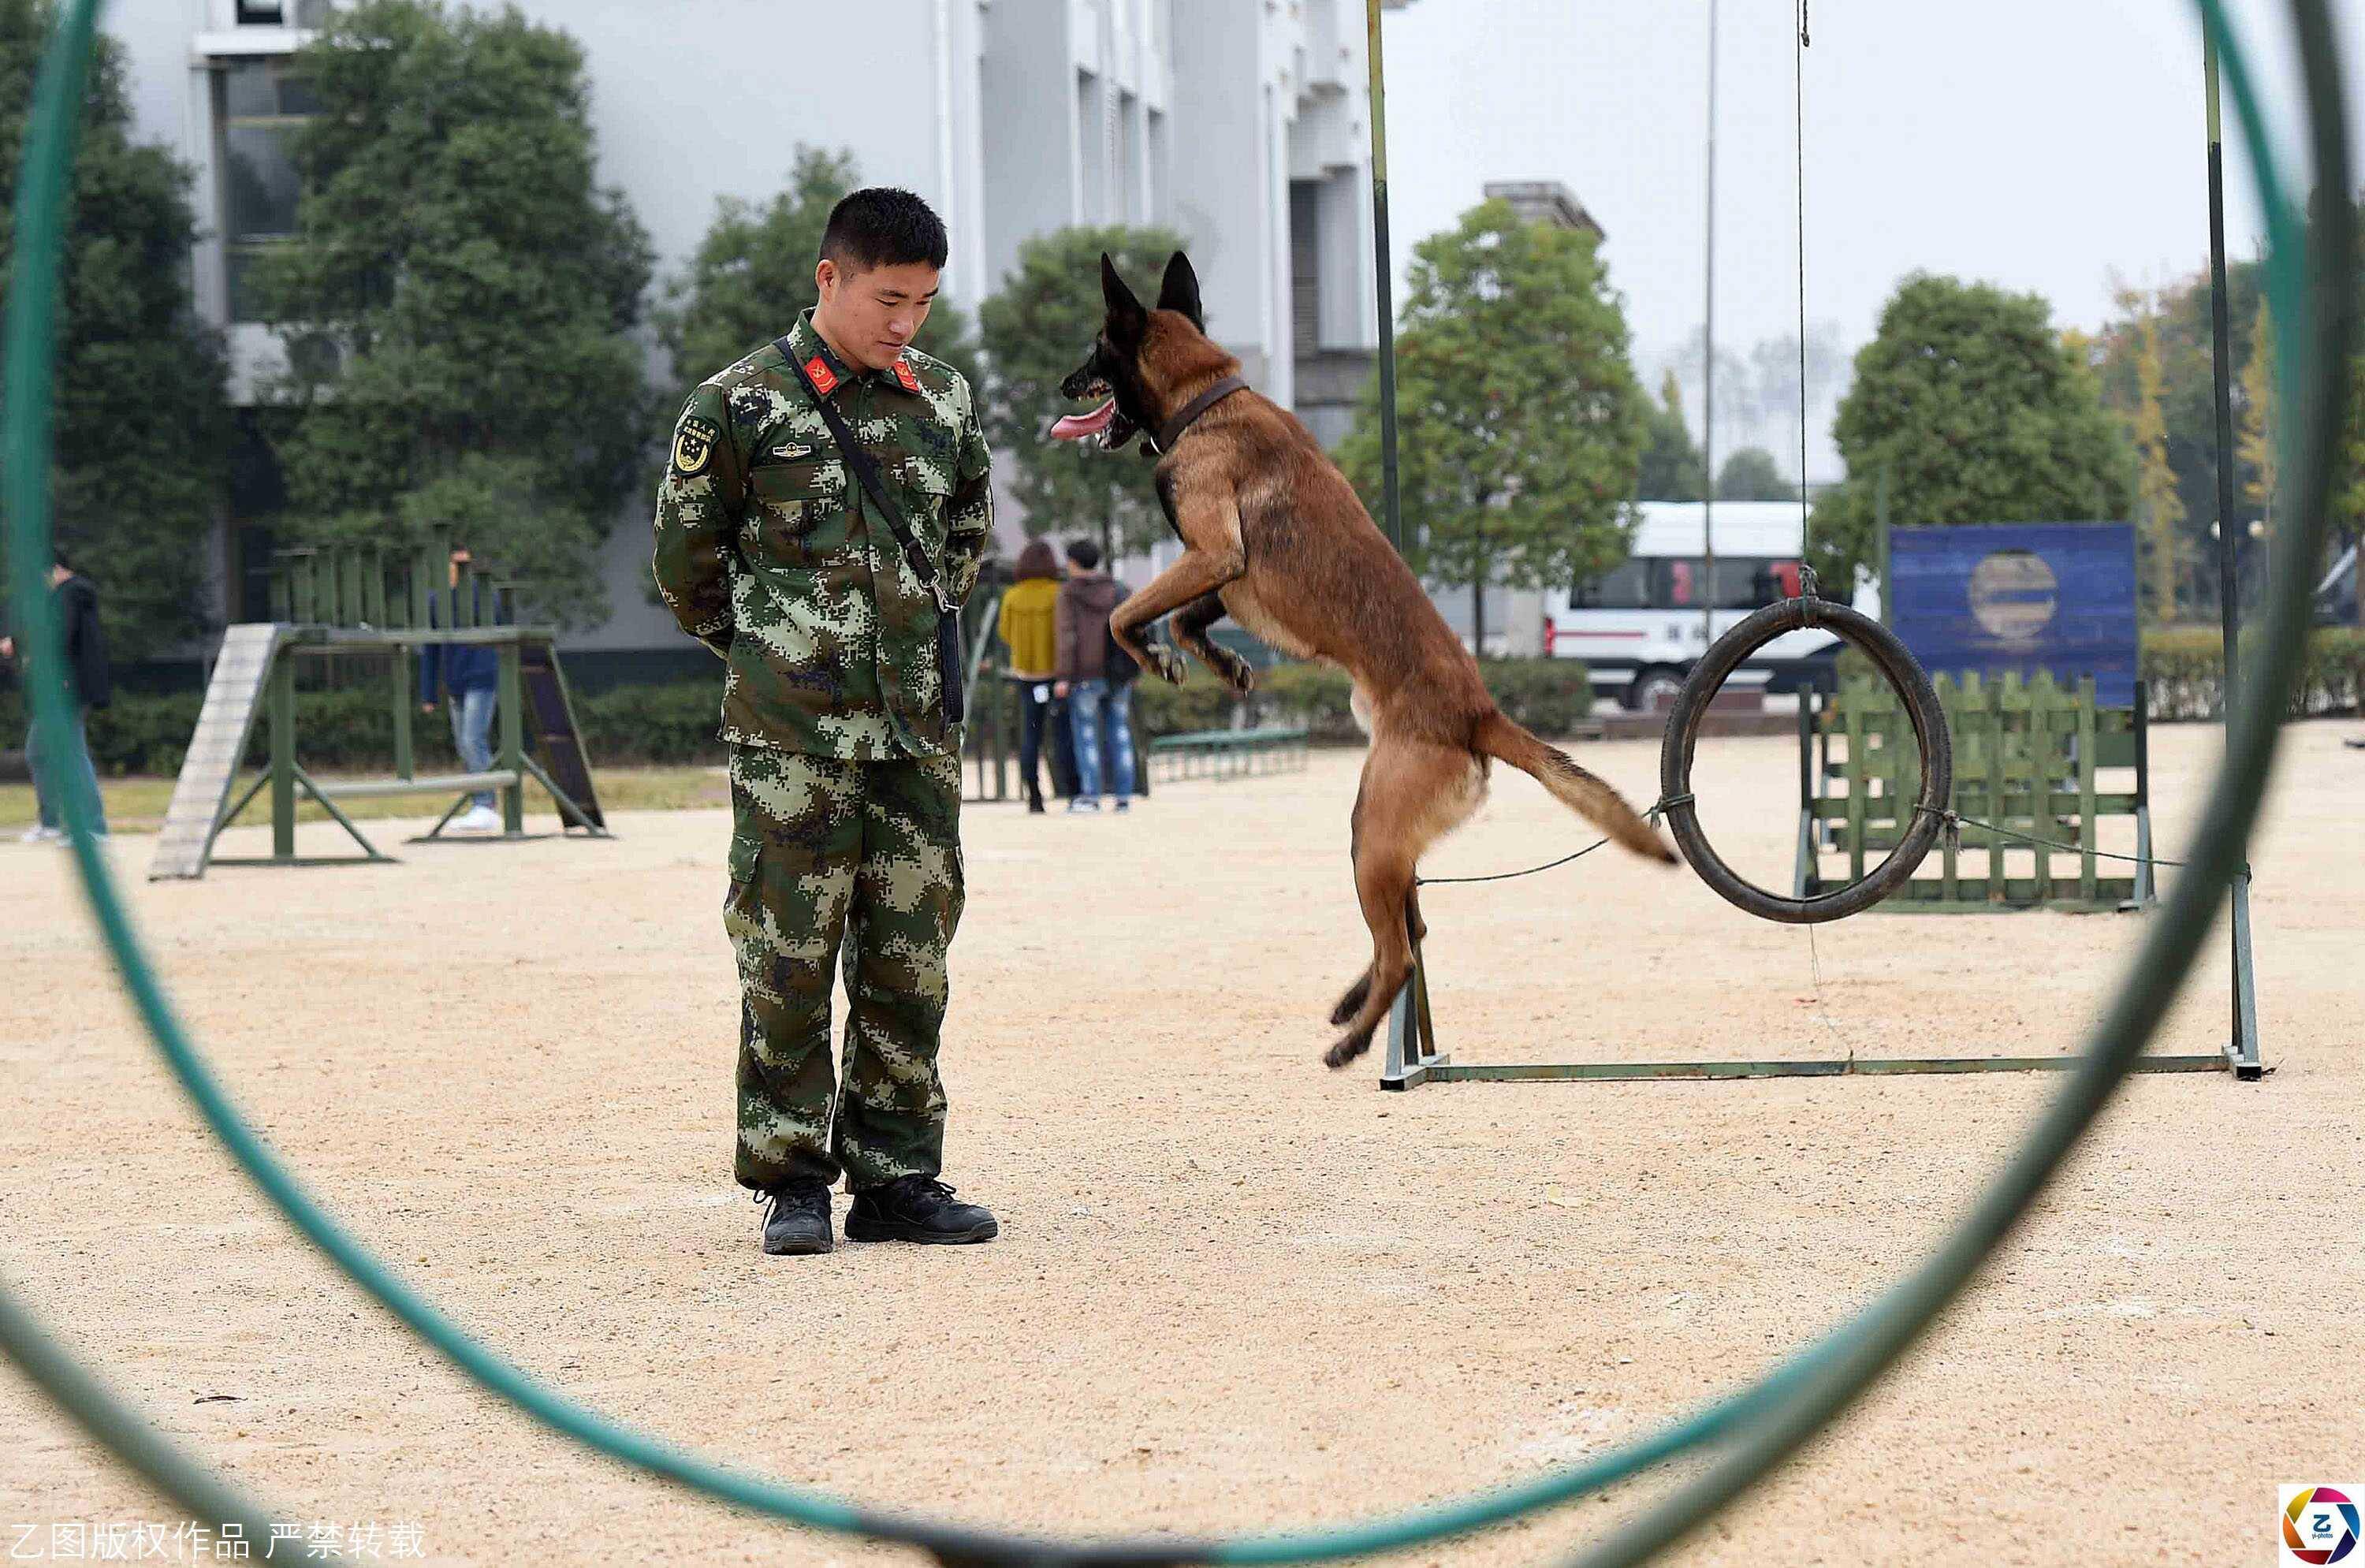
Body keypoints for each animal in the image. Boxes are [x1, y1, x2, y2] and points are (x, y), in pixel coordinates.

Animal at [1055, 258, 1684, 1069]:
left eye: (1097, 349)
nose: (1063, 386)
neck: (1208, 401)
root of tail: (1480, 712)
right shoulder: (1223, 577)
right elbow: (1188, 618)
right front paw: (1224, 664)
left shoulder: (1213, 553)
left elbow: (1124, 613)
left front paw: (1157, 660)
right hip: (1388, 843)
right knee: (1413, 932)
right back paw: (1355, 1007)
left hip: (1373, 834)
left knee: (1403, 953)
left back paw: (1356, 1041)